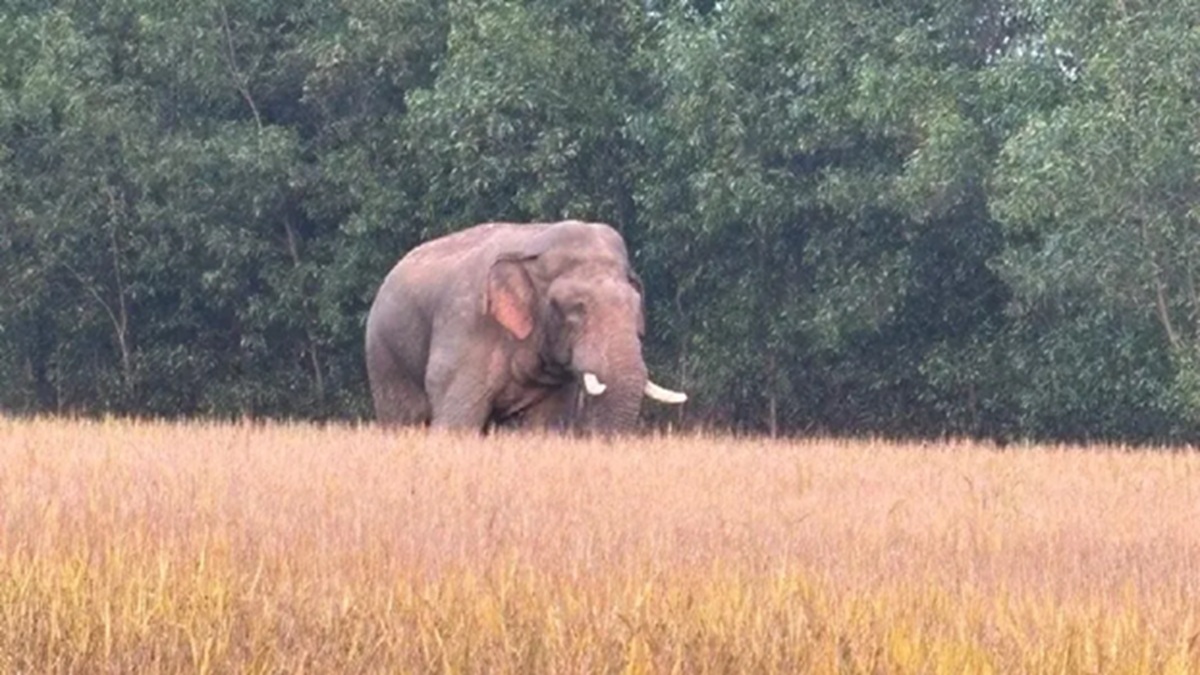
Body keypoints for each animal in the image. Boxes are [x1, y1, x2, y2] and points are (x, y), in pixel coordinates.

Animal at [365, 220, 687, 433]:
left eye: (636, 308)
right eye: (576, 309)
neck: (535, 242)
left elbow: (545, 426)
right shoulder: (465, 325)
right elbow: (458, 421)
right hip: (385, 356)